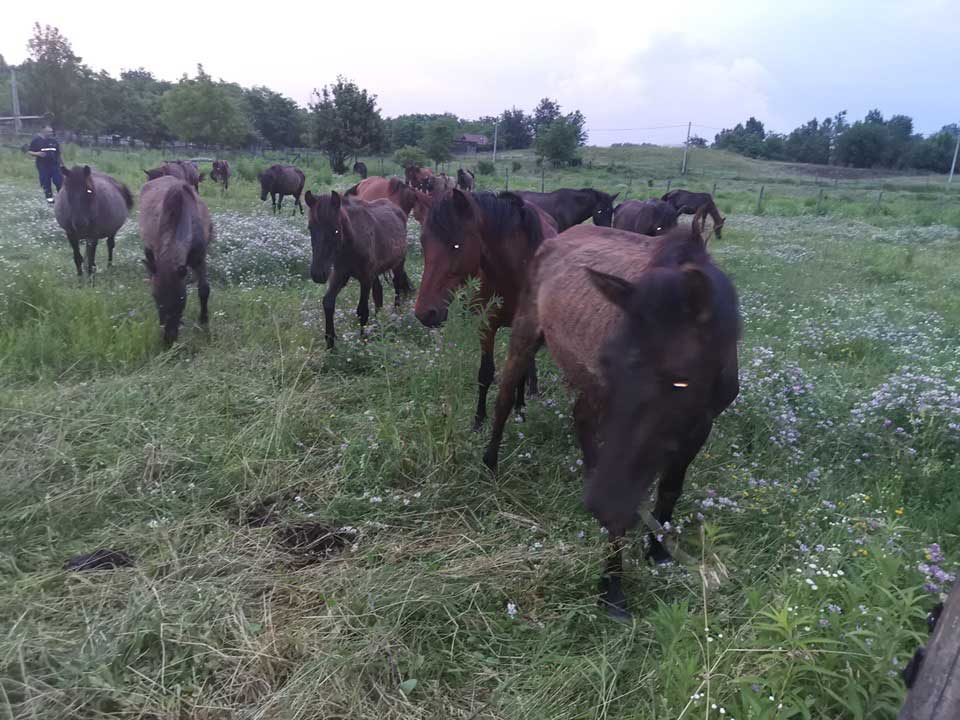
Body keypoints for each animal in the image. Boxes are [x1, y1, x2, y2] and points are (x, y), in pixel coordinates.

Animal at [138, 174, 213, 344]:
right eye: (155, 296)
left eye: (181, 298)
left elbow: (204, 289)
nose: (168, 339)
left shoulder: (200, 258)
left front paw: (204, 320)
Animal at [306, 191, 414, 348]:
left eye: (336, 230)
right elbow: (328, 303)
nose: (318, 274)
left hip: (398, 265)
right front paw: (330, 344)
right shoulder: (339, 275)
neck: (351, 244)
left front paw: (363, 341)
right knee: (378, 291)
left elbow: (362, 310)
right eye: (310, 228)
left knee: (398, 288)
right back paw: (378, 322)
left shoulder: (365, 278)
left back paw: (396, 316)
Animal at [414, 188, 564, 430]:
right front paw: (479, 420)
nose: (425, 313)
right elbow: (485, 373)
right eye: (423, 242)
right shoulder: (486, 325)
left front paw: (520, 410)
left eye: (456, 245)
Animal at [484, 215, 740, 620]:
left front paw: (658, 549)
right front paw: (612, 588)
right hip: (527, 331)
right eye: (608, 360)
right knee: (506, 396)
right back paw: (490, 462)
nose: (599, 504)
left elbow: (669, 488)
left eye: (680, 380)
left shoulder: (699, 425)